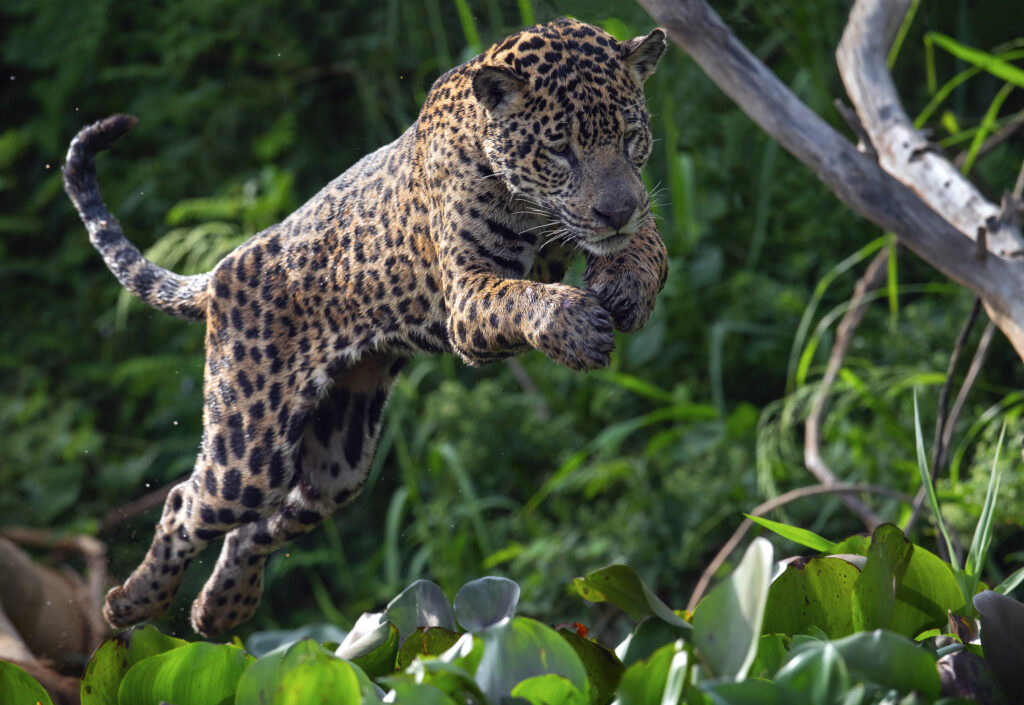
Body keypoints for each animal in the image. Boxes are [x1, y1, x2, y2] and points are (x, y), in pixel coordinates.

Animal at [62, 17, 668, 636]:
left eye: (629, 137)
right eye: (559, 150)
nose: (614, 212)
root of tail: (228, 264)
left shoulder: (628, 212)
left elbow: (650, 244)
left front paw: (627, 287)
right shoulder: (466, 296)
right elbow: (521, 296)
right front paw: (576, 326)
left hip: (340, 455)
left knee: (263, 526)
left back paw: (219, 608)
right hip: (248, 452)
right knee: (186, 503)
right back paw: (133, 602)